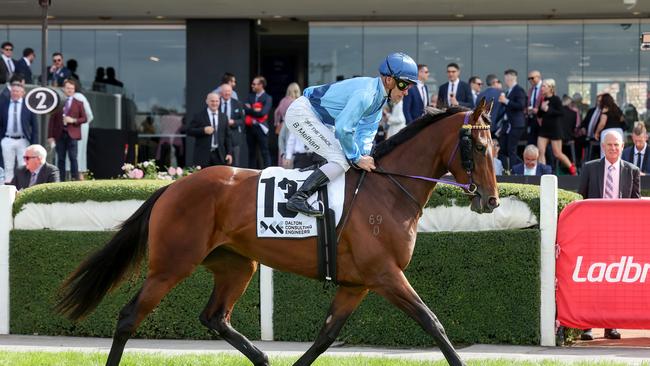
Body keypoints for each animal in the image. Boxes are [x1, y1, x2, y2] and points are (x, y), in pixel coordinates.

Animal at [58, 100, 498, 366]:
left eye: (493, 146)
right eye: (477, 147)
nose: (491, 201)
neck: (388, 189)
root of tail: (172, 185)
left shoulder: (357, 283)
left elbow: (325, 336)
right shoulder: (385, 274)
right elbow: (432, 322)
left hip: (237, 265)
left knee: (214, 316)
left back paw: (263, 358)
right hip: (171, 265)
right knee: (129, 317)